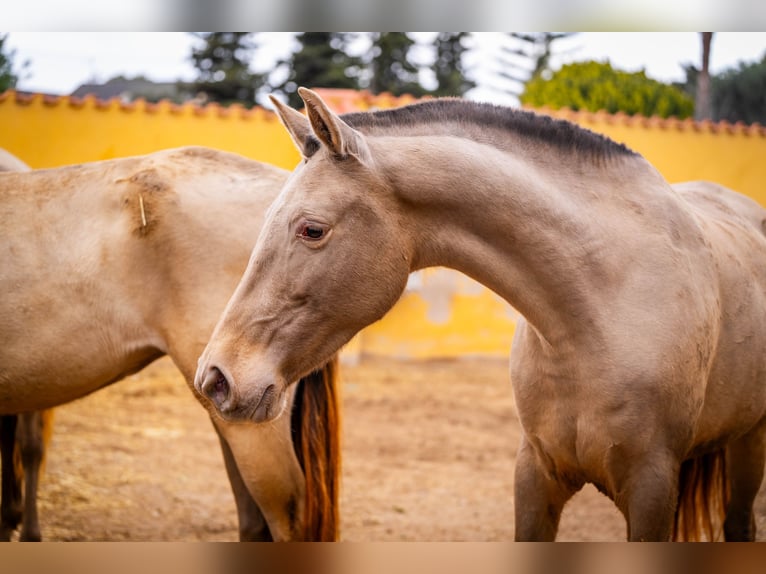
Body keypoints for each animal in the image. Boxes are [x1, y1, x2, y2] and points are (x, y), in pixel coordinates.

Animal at [195, 88, 766, 541]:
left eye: (311, 229)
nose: (215, 378)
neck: (596, 314)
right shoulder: (535, 475)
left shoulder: (650, 487)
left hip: (749, 445)